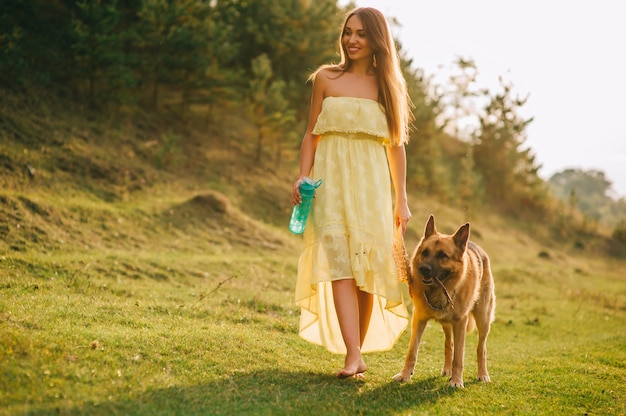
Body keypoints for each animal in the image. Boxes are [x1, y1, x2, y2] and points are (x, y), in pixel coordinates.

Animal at [392, 216, 494, 388]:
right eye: (425, 252)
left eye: (443, 255)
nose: (423, 269)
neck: (439, 289)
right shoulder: (418, 319)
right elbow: (412, 351)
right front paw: (405, 374)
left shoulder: (460, 323)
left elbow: (459, 357)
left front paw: (456, 380)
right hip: (447, 324)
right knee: (448, 344)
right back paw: (447, 369)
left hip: (483, 320)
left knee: (482, 348)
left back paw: (482, 374)